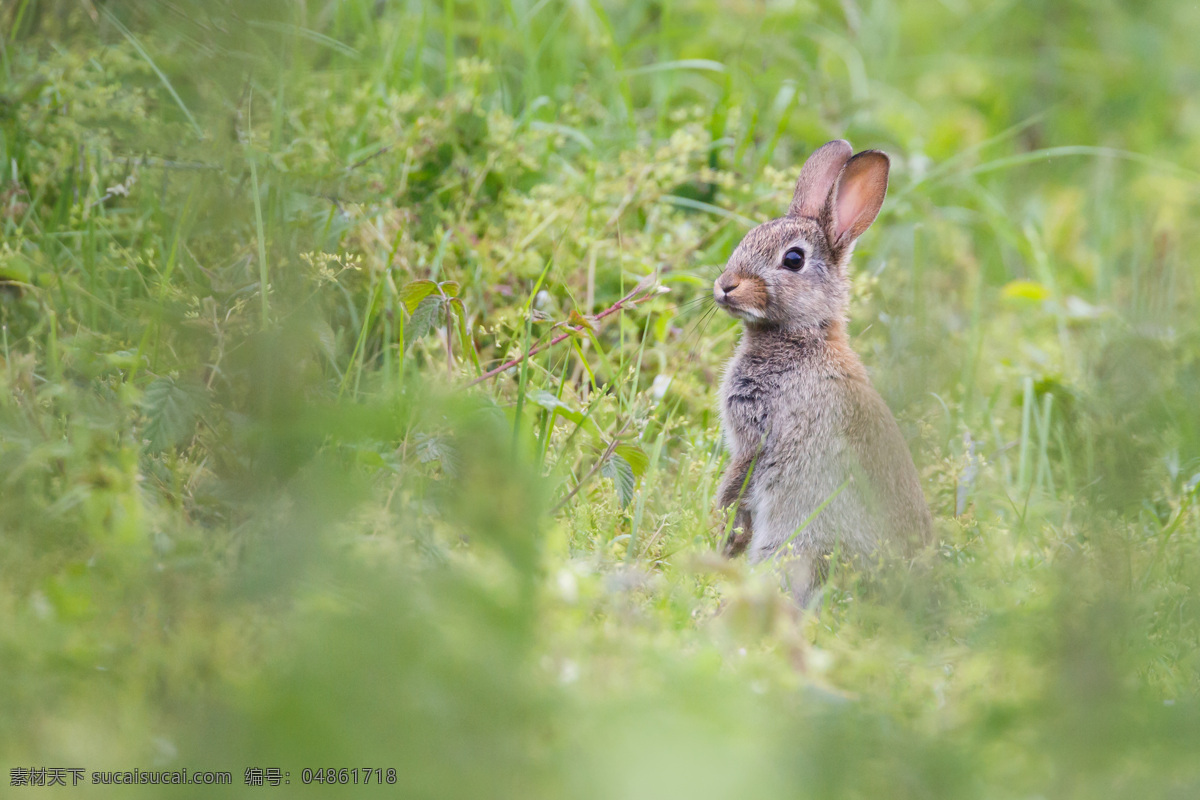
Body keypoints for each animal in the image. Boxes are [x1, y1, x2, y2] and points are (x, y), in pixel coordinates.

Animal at [715, 140, 931, 604]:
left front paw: (721, 535)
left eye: (793, 259)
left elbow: (737, 482)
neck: (803, 336)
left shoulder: (757, 435)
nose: (725, 285)